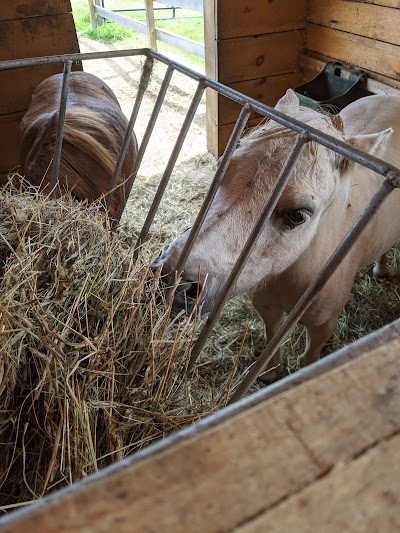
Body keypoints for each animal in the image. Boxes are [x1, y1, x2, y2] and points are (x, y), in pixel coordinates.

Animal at [153, 87, 400, 376]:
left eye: (298, 215)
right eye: (222, 167)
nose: (171, 277)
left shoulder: (323, 327)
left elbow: (309, 359)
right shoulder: (267, 306)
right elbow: (272, 336)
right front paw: (270, 373)